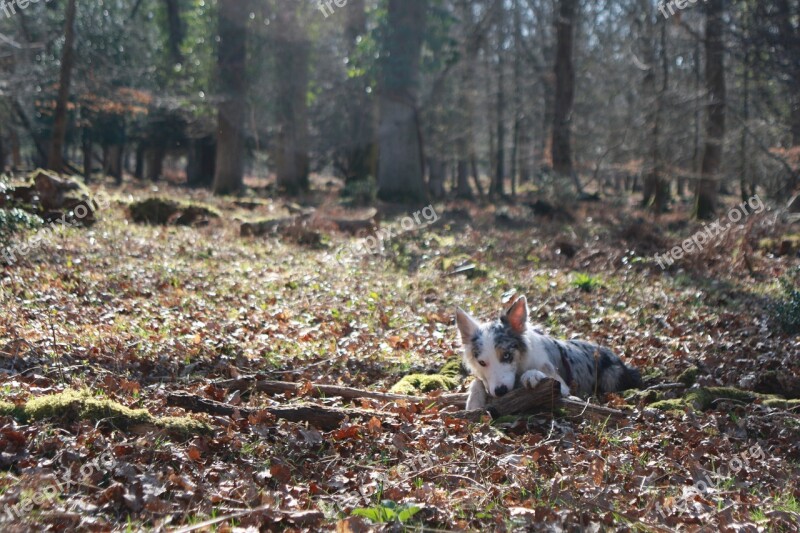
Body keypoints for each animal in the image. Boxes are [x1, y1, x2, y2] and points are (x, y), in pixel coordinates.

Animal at [456, 294, 644, 410]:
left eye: (507, 355)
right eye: (482, 362)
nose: (500, 391)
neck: (520, 367)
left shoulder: (562, 385)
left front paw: (532, 375)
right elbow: (476, 382)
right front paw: (473, 402)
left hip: (611, 376)